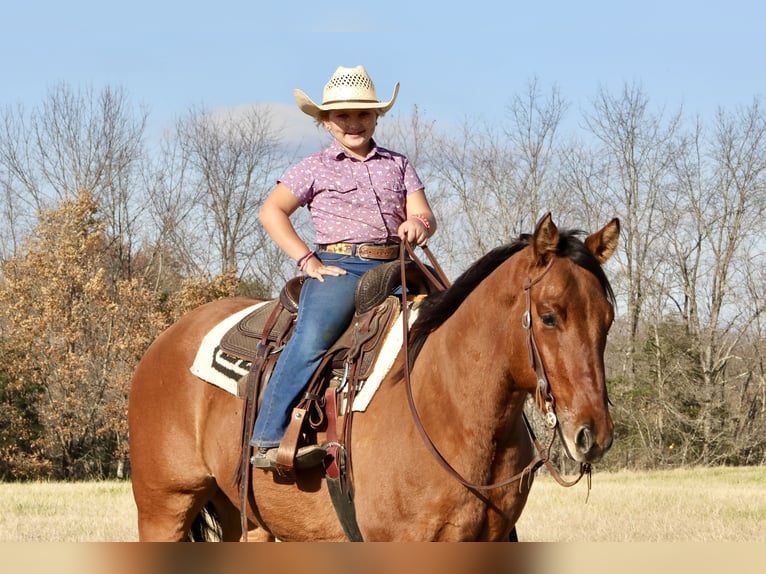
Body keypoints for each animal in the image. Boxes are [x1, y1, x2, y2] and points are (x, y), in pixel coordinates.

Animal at [128, 213, 620, 541]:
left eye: (608, 319)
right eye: (550, 316)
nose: (592, 435)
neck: (453, 407)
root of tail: (163, 342)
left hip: (245, 518)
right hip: (164, 508)